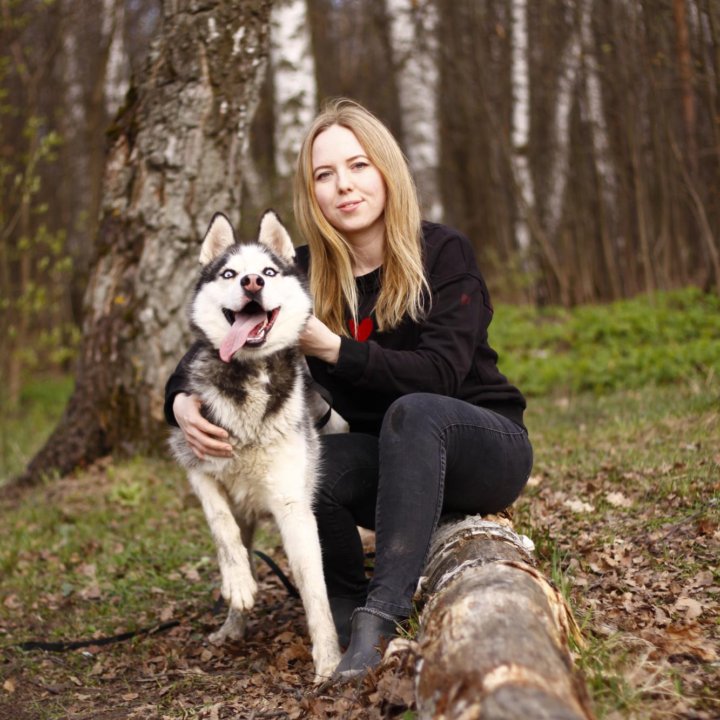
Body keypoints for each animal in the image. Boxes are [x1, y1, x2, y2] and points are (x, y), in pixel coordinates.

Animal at [173, 208, 344, 680]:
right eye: (229, 273)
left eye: (268, 272)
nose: (252, 283)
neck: (248, 376)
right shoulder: (194, 463)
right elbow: (222, 528)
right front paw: (237, 585)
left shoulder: (293, 506)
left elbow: (314, 587)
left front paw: (329, 660)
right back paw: (233, 623)